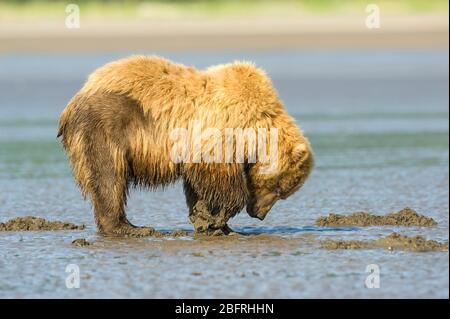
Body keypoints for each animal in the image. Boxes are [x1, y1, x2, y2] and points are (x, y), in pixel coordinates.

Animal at [58, 56, 312, 238]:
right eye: (279, 189)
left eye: (283, 193)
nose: (259, 214)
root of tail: (76, 97)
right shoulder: (219, 129)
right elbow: (219, 178)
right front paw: (217, 219)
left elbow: (197, 185)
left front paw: (208, 220)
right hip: (107, 123)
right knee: (109, 176)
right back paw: (129, 227)